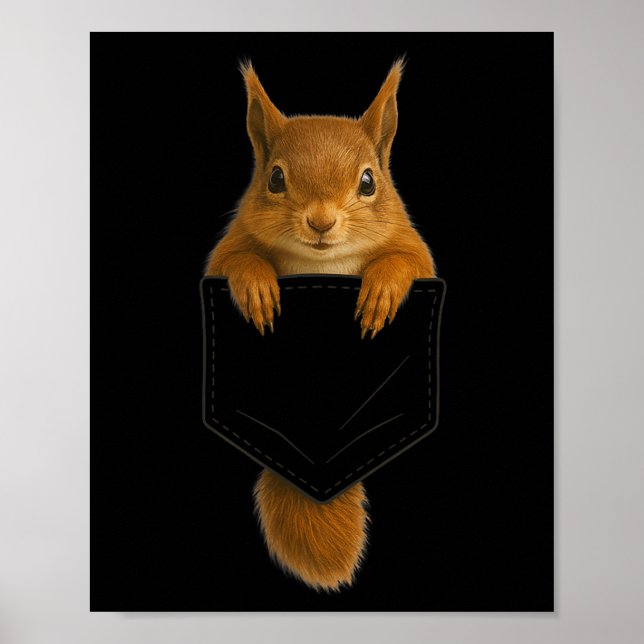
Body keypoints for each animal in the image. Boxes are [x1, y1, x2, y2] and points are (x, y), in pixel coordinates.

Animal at [205, 59, 435, 591]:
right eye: (274, 178)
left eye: (369, 182)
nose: (321, 221)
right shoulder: (230, 244)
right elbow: (236, 259)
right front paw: (256, 286)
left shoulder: (412, 245)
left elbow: (407, 261)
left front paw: (382, 290)